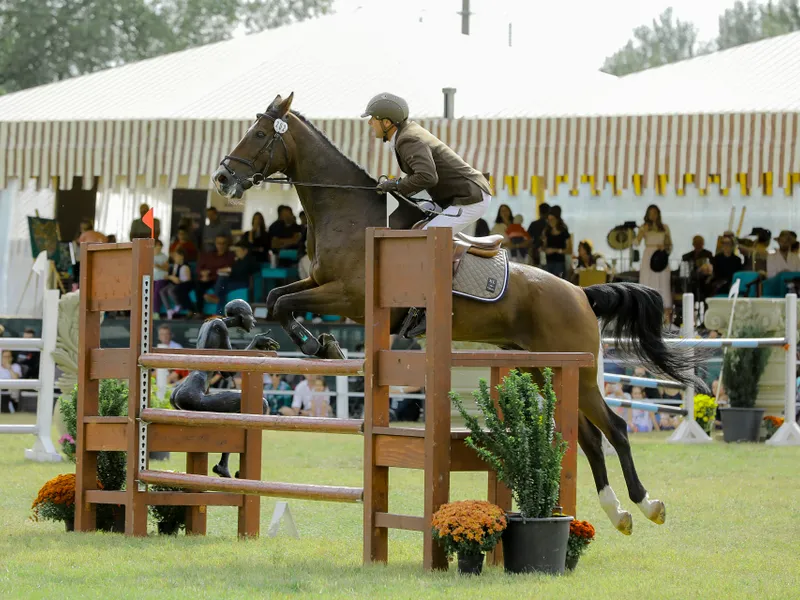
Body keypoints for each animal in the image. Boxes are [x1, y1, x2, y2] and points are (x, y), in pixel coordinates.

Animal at [209, 92, 704, 536]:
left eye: (258, 134)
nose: (221, 178)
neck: (347, 212)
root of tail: (582, 293)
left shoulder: (347, 296)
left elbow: (285, 304)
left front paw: (321, 347)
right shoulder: (319, 284)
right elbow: (277, 299)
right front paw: (316, 344)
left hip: (576, 371)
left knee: (614, 428)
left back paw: (646, 505)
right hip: (543, 366)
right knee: (588, 436)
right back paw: (616, 513)